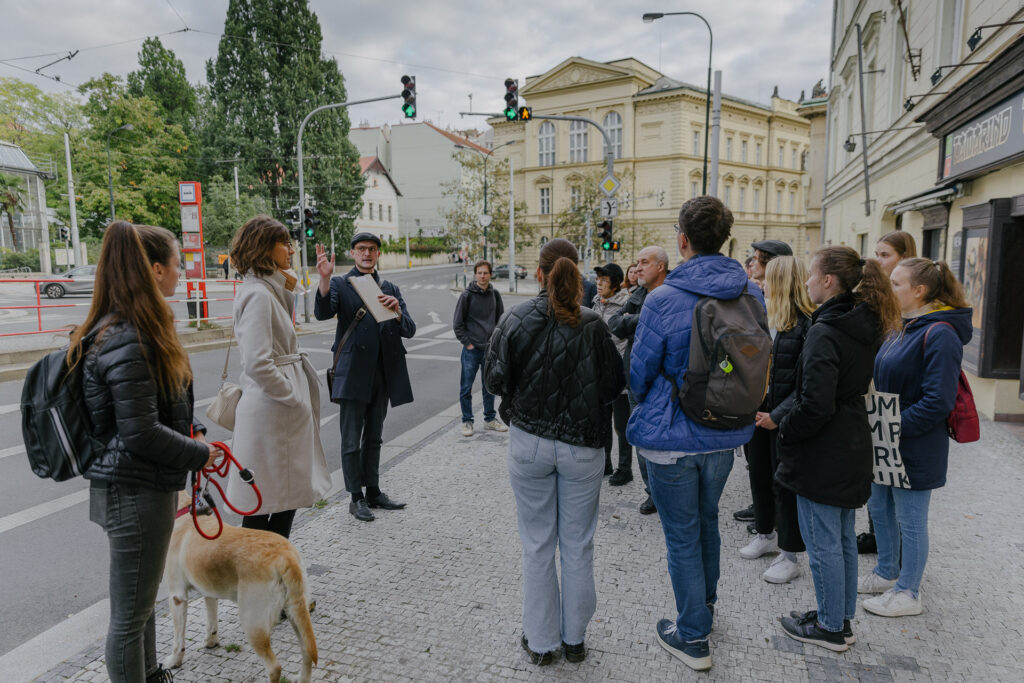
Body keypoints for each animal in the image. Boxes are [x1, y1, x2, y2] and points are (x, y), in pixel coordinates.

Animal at [160, 493, 315, 679]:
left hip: (252, 622)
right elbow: (212, 622)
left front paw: (174, 660)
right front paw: (211, 641)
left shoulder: (177, 597)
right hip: (296, 612)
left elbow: (178, 639)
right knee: (307, 652)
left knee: (275, 667)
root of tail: (284, 556)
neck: (184, 512)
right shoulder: (209, 591)